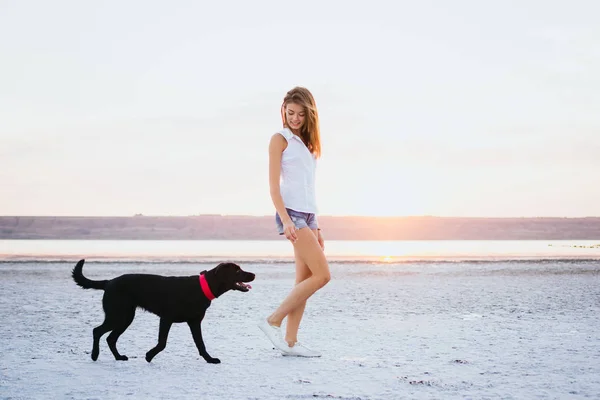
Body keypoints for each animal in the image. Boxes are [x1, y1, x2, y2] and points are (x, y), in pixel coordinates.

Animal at [71, 258, 254, 364]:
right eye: (237, 270)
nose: (253, 274)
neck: (202, 287)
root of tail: (108, 282)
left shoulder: (194, 322)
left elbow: (200, 344)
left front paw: (210, 359)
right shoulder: (166, 318)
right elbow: (162, 343)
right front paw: (149, 356)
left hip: (126, 317)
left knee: (110, 338)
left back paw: (119, 357)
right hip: (117, 315)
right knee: (97, 331)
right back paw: (95, 355)